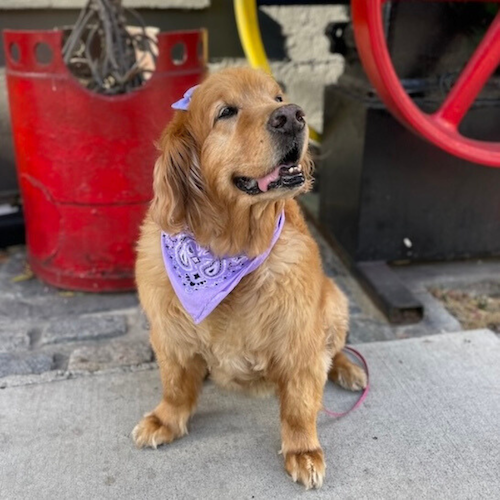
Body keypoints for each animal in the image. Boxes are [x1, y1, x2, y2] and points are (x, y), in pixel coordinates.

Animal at [133, 66, 368, 488]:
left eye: (277, 98)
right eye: (226, 111)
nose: (293, 116)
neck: (231, 249)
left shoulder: (299, 337)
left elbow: (299, 404)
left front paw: (303, 450)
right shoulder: (170, 332)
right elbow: (175, 385)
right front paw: (166, 419)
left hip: (334, 301)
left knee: (335, 348)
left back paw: (348, 369)